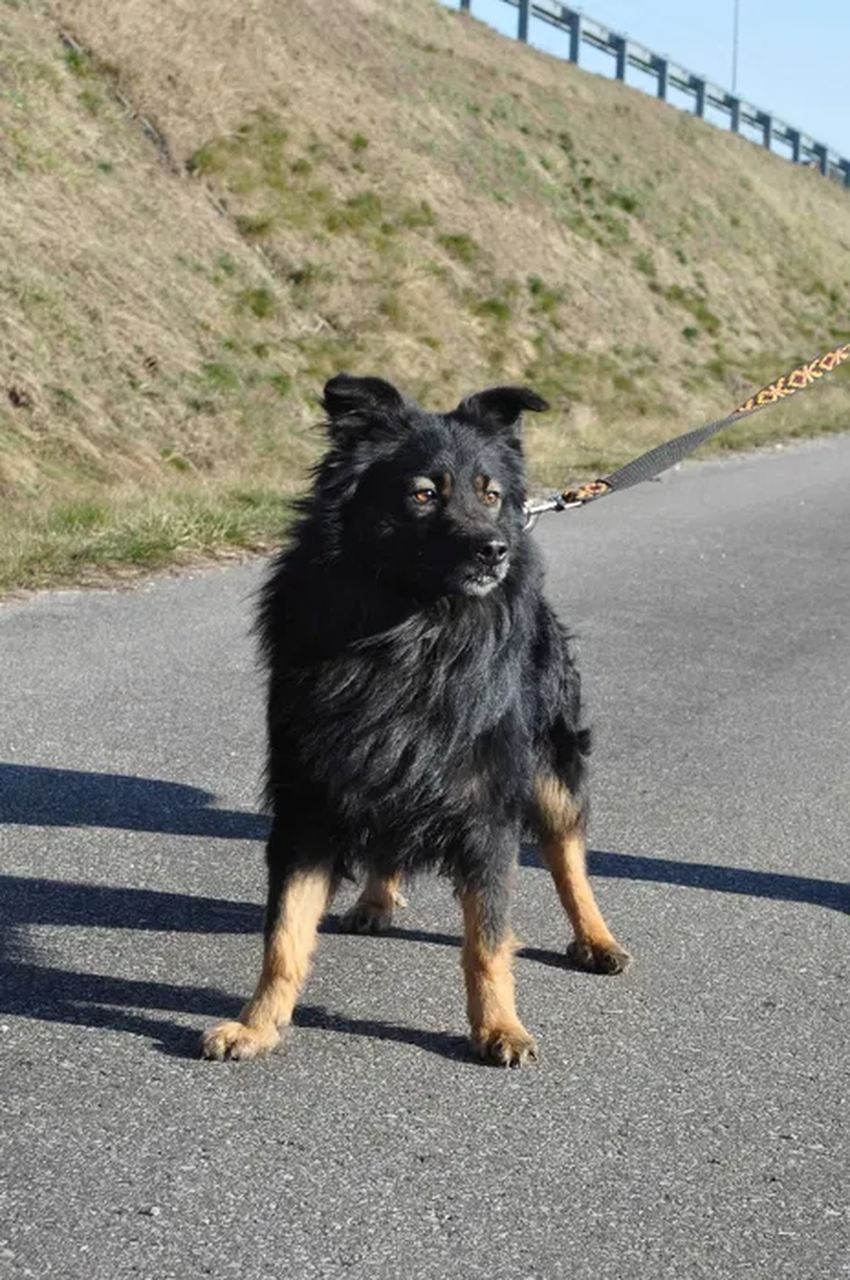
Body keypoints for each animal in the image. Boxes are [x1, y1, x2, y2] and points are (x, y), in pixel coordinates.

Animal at [201, 374, 630, 1067]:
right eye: (424, 494)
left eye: (491, 494)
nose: (495, 550)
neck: (411, 626)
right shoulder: (309, 797)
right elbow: (284, 936)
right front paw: (257, 1026)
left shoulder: (487, 807)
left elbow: (487, 940)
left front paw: (499, 1028)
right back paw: (376, 898)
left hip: (553, 766)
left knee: (569, 857)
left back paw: (596, 939)